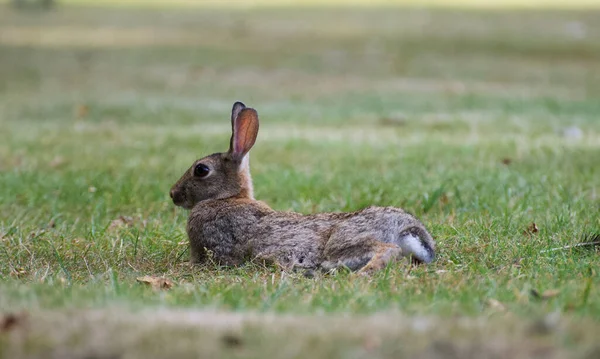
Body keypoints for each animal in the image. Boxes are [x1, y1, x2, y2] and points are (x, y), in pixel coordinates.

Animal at [170, 100, 436, 274]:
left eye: (201, 170)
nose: (173, 194)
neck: (228, 198)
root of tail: (407, 227)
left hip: (342, 243)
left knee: (388, 250)